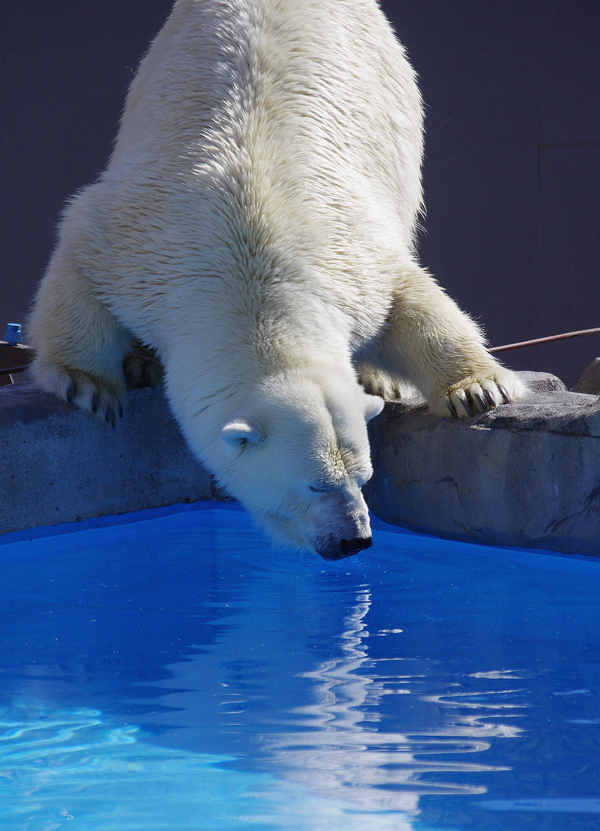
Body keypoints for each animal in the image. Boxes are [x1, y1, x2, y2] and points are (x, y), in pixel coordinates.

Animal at [28, 0, 524, 564]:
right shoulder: (140, 241)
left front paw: (479, 390)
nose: (355, 540)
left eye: (364, 478)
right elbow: (77, 262)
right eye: (315, 485)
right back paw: (139, 363)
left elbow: (412, 298)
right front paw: (88, 386)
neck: (251, 265)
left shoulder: (350, 256)